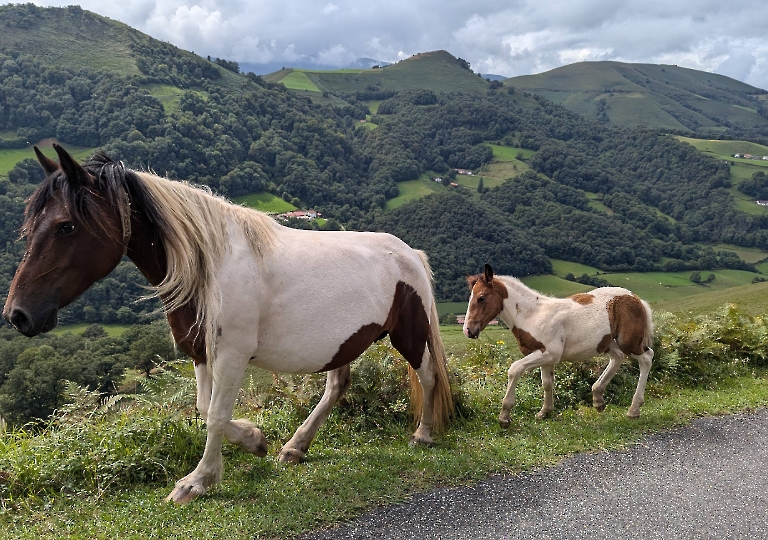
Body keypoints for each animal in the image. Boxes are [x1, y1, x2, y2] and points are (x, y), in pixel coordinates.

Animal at [3, 146, 452, 504]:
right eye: (30, 226)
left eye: (66, 226)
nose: (17, 315)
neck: (208, 267)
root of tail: (409, 253)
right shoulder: (201, 352)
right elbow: (205, 409)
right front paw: (255, 440)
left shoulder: (232, 355)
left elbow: (216, 416)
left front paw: (198, 481)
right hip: (344, 343)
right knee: (337, 387)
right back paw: (295, 447)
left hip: (408, 335)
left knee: (428, 375)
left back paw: (423, 434)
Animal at [462, 264, 656, 426]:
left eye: (481, 298)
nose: (468, 330)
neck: (531, 315)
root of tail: (635, 298)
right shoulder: (545, 358)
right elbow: (547, 382)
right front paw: (545, 412)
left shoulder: (549, 353)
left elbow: (514, 369)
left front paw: (504, 417)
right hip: (607, 342)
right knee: (618, 357)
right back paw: (598, 399)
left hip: (627, 342)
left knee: (646, 357)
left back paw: (633, 409)